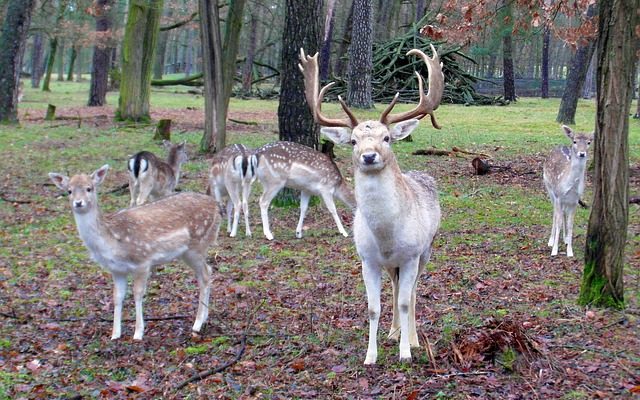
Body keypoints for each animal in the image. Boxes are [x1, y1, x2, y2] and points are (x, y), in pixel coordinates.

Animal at [48, 164, 221, 340]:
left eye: (89, 188)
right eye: (69, 191)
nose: (78, 202)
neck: (113, 242)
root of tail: (216, 206)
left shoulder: (143, 261)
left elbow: (137, 294)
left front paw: (138, 333)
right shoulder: (116, 270)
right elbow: (117, 297)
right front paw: (115, 334)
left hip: (197, 245)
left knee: (205, 274)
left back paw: (197, 324)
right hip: (188, 252)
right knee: (207, 272)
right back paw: (204, 318)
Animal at [300, 45, 444, 364]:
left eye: (387, 137)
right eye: (353, 141)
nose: (369, 156)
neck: (386, 236)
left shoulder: (411, 255)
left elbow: (405, 302)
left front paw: (406, 353)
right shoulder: (367, 259)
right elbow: (372, 308)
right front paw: (371, 355)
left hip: (426, 250)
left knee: (412, 292)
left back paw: (413, 339)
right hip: (392, 266)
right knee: (395, 286)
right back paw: (393, 332)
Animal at [544, 124, 592, 256]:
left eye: (589, 142)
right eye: (575, 141)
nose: (582, 153)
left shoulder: (575, 200)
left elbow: (571, 224)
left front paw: (570, 252)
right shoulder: (559, 196)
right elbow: (558, 221)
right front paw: (554, 250)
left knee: (563, 213)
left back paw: (565, 239)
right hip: (549, 188)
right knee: (555, 213)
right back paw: (551, 240)